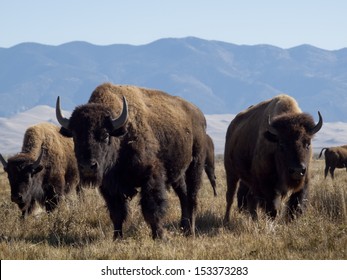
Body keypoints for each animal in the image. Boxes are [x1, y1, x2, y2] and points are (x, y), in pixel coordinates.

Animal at [55, 82, 207, 240]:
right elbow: (117, 213)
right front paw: (117, 238)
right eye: (75, 136)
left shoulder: (151, 176)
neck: (121, 137)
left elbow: (151, 208)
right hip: (178, 174)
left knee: (192, 198)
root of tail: (199, 114)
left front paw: (160, 237)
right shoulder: (110, 186)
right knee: (183, 196)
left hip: (195, 165)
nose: (87, 167)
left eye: (105, 135)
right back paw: (184, 228)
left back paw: (190, 231)